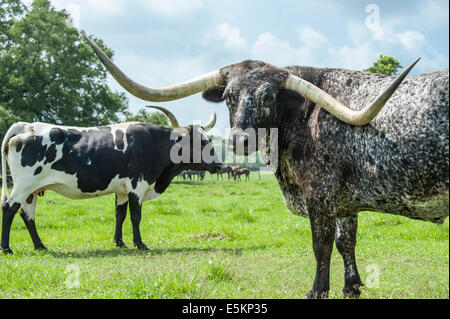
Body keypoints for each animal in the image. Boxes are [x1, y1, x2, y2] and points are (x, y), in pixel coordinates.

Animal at [0, 105, 222, 255]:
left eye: (208, 140)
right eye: (200, 143)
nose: (219, 165)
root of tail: (27, 126)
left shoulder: (122, 189)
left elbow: (119, 214)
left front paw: (119, 242)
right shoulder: (136, 185)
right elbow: (135, 216)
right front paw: (139, 243)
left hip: (32, 190)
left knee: (27, 215)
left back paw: (40, 246)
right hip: (24, 185)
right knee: (9, 208)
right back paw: (7, 248)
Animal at [82, 31, 448, 298]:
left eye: (268, 96)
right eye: (228, 96)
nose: (239, 140)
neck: (304, 115)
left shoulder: (321, 195)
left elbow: (321, 245)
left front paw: (317, 291)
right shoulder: (345, 202)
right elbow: (346, 242)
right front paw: (351, 287)